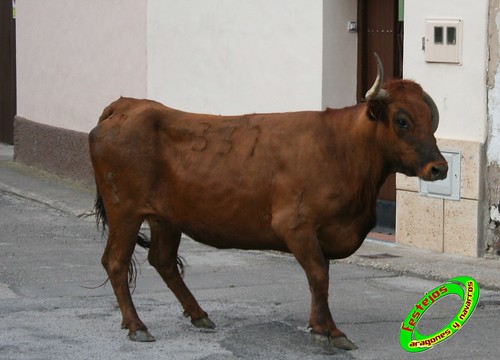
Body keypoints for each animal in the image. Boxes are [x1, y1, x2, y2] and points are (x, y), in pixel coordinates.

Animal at [88, 54, 448, 350]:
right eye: (401, 120)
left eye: (430, 120)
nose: (439, 168)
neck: (342, 149)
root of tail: (127, 106)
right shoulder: (296, 226)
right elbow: (318, 275)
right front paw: (329, 331)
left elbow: (320, 278)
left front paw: (320, 326)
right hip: (125, 211)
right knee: (116, 262)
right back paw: (137, 325)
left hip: (165, 217)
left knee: (162, 261)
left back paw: (198, 314)